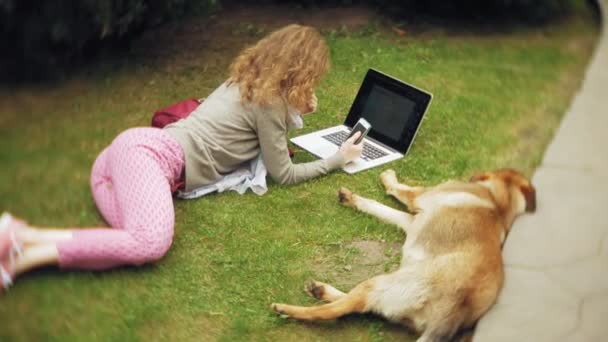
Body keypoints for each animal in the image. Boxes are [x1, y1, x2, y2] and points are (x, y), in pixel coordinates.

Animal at [274, 169, 536, 342]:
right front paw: (353, 199)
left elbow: (396, 189)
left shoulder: (416, 198)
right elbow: (379, 207)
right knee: (360, 306)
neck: (498, 203)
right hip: (394, 298)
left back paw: (288, 308)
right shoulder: (410, 221)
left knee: (338, 309)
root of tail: (455, 309)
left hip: (384, 283)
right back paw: (321, 291)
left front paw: (386, 178)